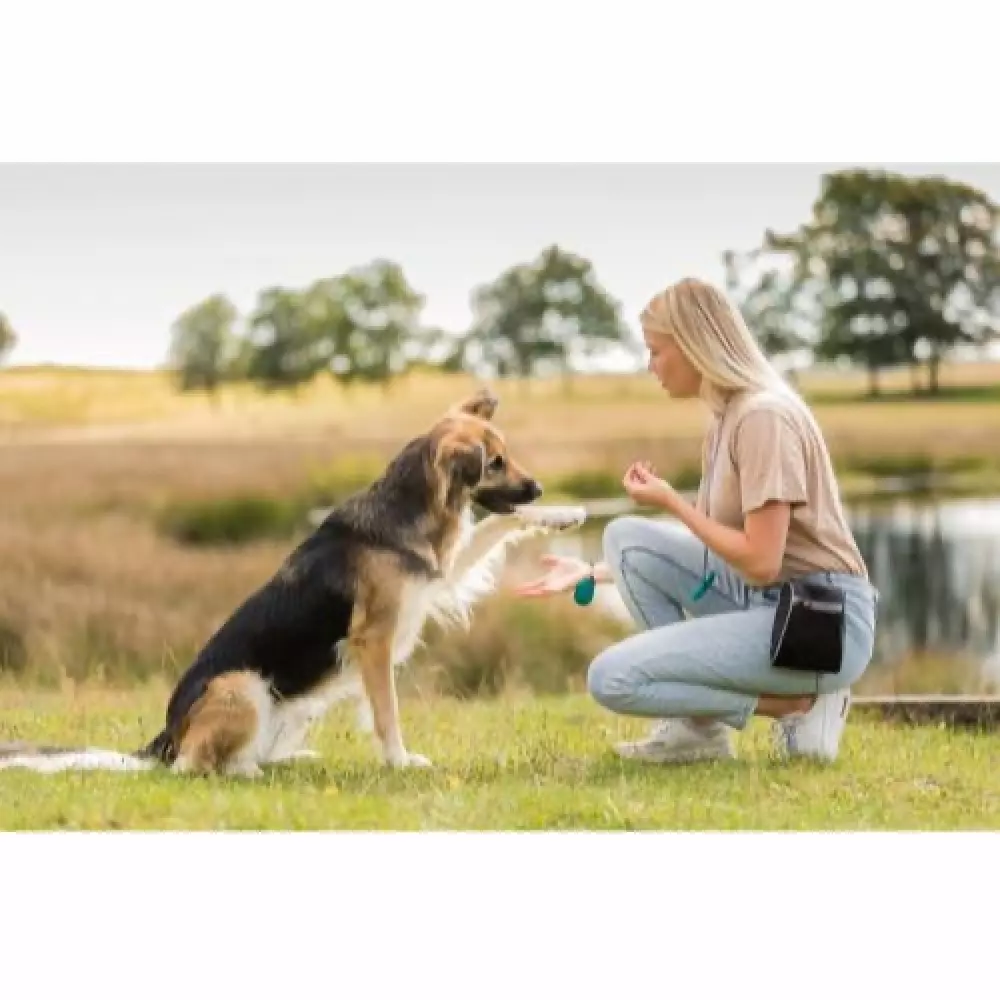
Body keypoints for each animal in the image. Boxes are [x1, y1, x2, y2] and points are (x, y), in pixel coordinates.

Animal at [0, 386, 584, 776]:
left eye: (509, 456)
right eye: (495, 463)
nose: (539, 486)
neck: (407, 505)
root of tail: (164, 739)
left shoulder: (436, 580)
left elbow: (501, 523)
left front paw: (565, 513)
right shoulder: (373, 642)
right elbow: (387, 712)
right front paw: (399, 761)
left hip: (303, 698)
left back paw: (288, 760)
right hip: (242, 685)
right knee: (196, 766)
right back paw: (246, 771)